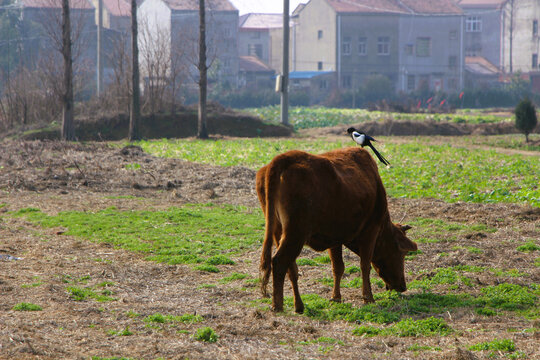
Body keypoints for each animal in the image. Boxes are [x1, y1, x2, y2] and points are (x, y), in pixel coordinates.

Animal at [255, 146, 416, 312]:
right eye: (402, 253)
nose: (403, 286)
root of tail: (283, 159)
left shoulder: (334, 237)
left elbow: (338, 267)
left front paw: (336, 297)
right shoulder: (371, 229)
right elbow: (365, 264)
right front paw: (368, 297)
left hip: (279, 232)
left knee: (291, 267)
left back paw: (298, 305)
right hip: (296, 233)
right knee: (279, 262)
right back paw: (278, 305)